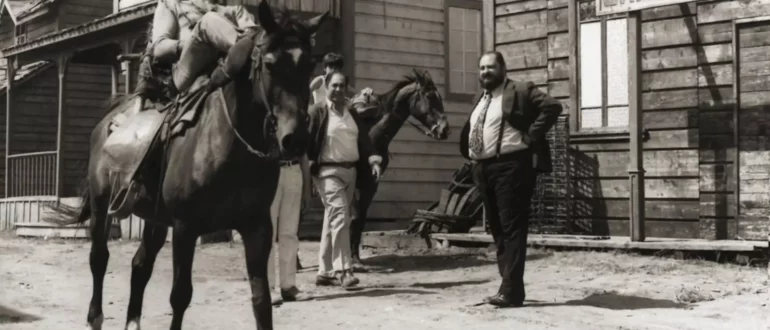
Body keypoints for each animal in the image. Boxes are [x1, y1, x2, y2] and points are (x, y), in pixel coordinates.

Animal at [50, 2, 324, 330]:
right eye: (269, 65)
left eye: (309, 65)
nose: (295, 139)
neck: (227, 141)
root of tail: (106, 124)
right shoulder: (185, 227)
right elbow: (180, 295)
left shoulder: (257, 226)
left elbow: (261, 301)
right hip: (103, 206)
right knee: (99, 259)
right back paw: (95, 317)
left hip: (154, 218)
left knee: (140, 264)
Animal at [350, 69, 450, 266]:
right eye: (429, 96)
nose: (444, 129)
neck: (371, 133)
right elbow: (352, 218)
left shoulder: (371, 184)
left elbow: (360, 218)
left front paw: (356, 258)